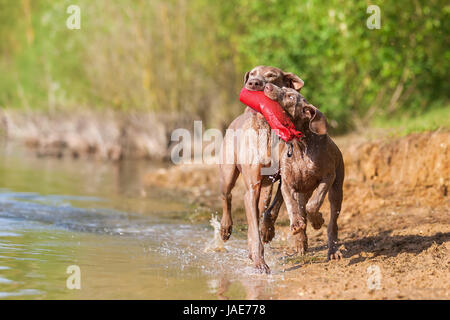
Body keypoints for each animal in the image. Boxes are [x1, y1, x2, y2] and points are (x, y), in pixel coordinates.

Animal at [220, 65, 304, 272]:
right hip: (227, 174)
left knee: (260, 209)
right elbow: (253, 227)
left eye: (271, 75)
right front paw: (260, 261)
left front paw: (267, 230)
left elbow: (272, 209)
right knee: (227, 197)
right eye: (251, 74)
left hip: (265, 187)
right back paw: (225, 228)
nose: (253, 83)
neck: (267, 127)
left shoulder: (285, 178)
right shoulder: (252, 188)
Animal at [264, 84, 344, 262]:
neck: (301, 144)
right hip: (298, 190)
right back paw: (300, 241)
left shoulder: (327, 177)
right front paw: (296, 225)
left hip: (336, 190)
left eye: (291, 97)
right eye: (283, 87)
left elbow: (313, 205)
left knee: (332, 224)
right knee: (292, 208)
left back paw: (333, 250)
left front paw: (317, 220)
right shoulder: (287, 184)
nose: (267, 85)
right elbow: (291, 206)